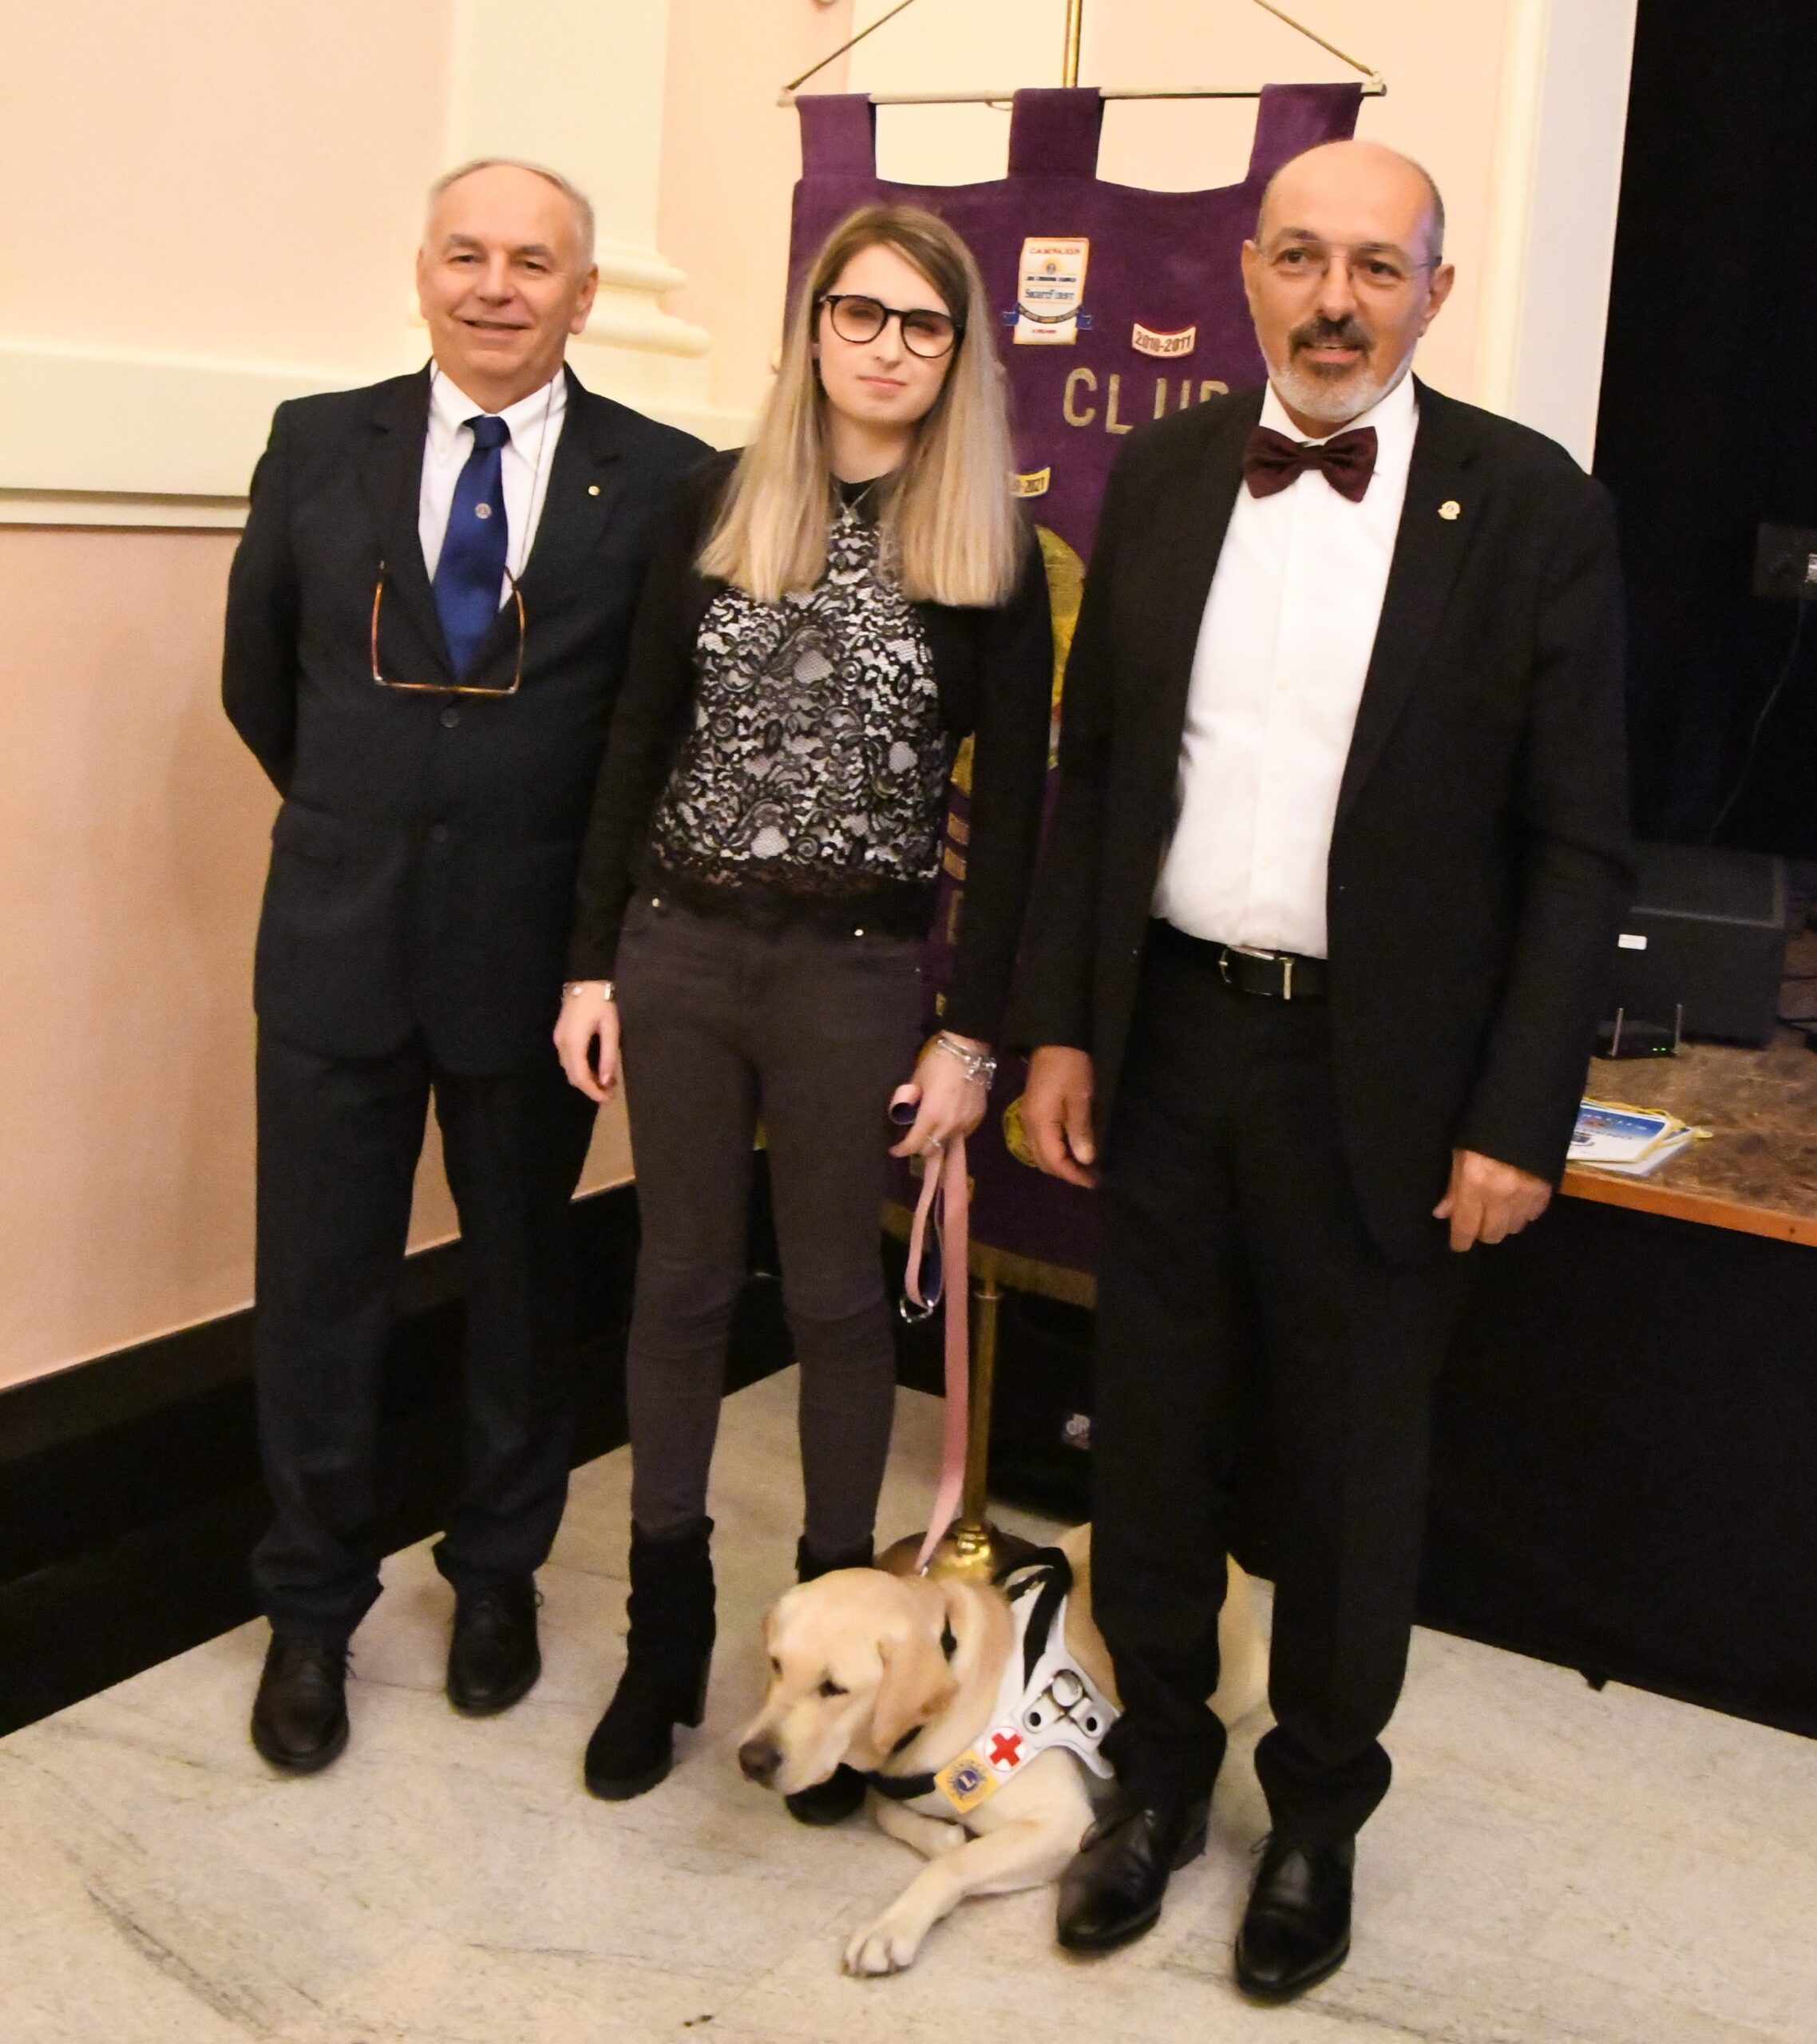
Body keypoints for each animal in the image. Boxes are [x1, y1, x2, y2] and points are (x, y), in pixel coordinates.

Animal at [737, 1526, 1267, 1975]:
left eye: (834, 1688)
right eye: (776, 1665)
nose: (751, 1760)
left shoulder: (1061, 1822)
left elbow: (952, 1864)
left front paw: (891, 1929)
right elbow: (881, 1806)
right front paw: (942, 1834)